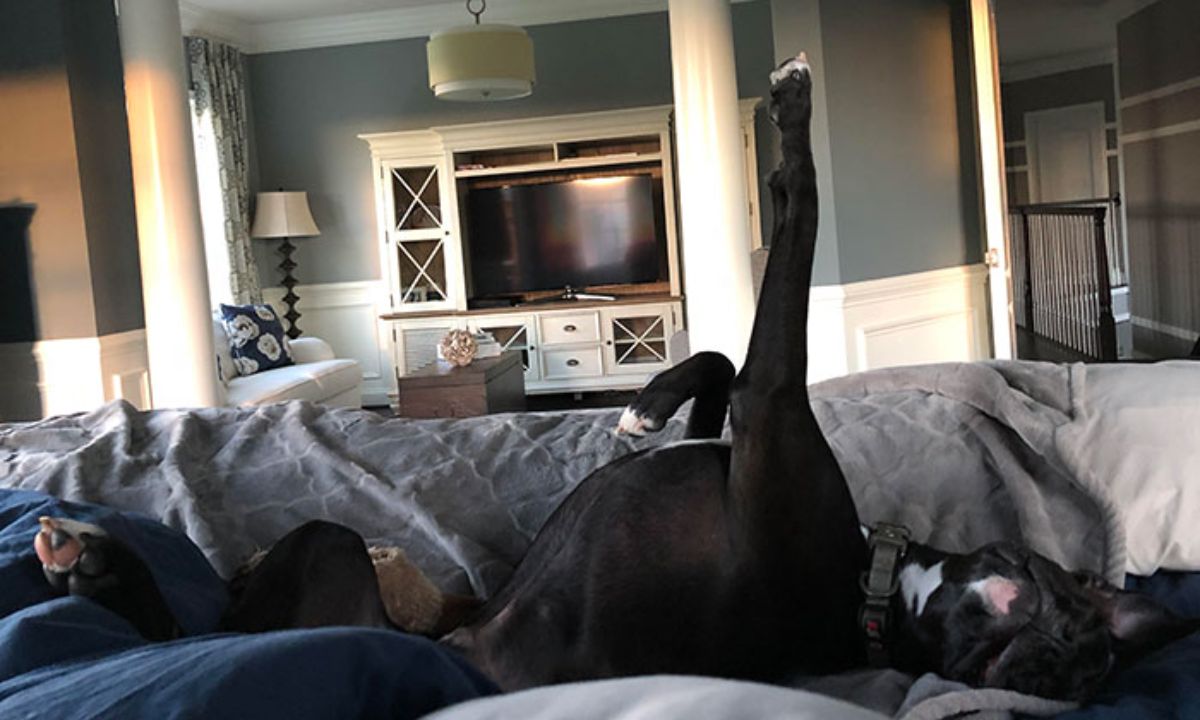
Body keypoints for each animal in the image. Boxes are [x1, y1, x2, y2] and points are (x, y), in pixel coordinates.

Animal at [32, 53, 1195, 700]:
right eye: (1064, 608)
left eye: (1048, 674)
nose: (1033, 640)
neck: (867, 593)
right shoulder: (744, 422)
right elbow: (718, 353)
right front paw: (641, 403)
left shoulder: (772, 412)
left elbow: (792, 225)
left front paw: (789, 105)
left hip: (331, 568)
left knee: (198, 637)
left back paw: (94, 562)